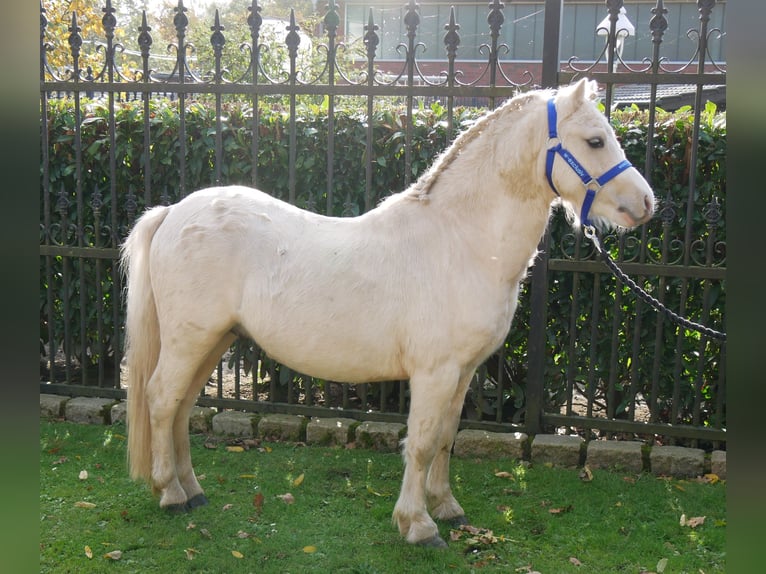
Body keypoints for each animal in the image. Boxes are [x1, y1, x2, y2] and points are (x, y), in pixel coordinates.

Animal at [123, 77, 656, 548]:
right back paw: (171, 494)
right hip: (190, 339)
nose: (646, 203)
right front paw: (417, 525)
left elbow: (446, 437)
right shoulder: (435, 372)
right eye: (594, 140)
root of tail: (173, 213)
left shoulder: (463, 372)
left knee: (181, 407)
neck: (459, 242)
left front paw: (448, 507)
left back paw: (193, 491)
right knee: (161, 399)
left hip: (215, 341)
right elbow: (419, 443)